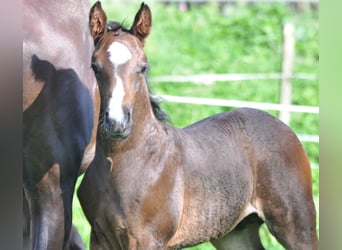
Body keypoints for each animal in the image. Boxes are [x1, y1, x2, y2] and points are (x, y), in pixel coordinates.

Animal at [77, 1, 318, 248]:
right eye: (95, 66)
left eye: (143, 67)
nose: (116, 123)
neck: (124, 159)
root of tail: (284, 127)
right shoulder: (99, 237)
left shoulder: (148, 239)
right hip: (235, 232)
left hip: (297, 223)